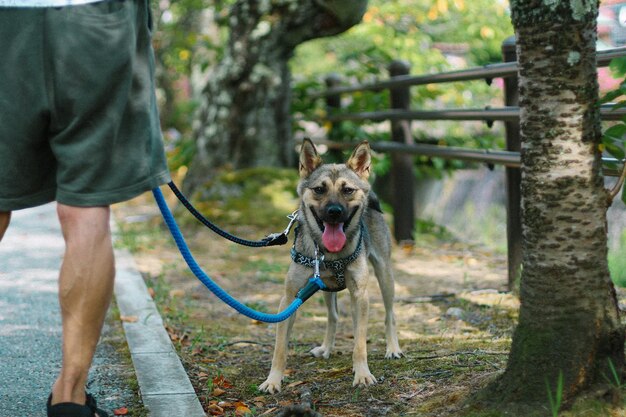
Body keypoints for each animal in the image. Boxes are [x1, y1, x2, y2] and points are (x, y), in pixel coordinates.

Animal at [258, 137, 400, 394]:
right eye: (319, 189)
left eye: (348, 190)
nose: (334, 212)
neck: (329, 254)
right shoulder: (289, 298)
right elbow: (280, 349)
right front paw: (273, 380)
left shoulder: (360, 295)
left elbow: (360, 344)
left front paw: (362, 374)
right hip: (324, 289)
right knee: (333, 316)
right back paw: (326, 348)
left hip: (385, 276)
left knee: (389, 314)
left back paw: (393, 348)